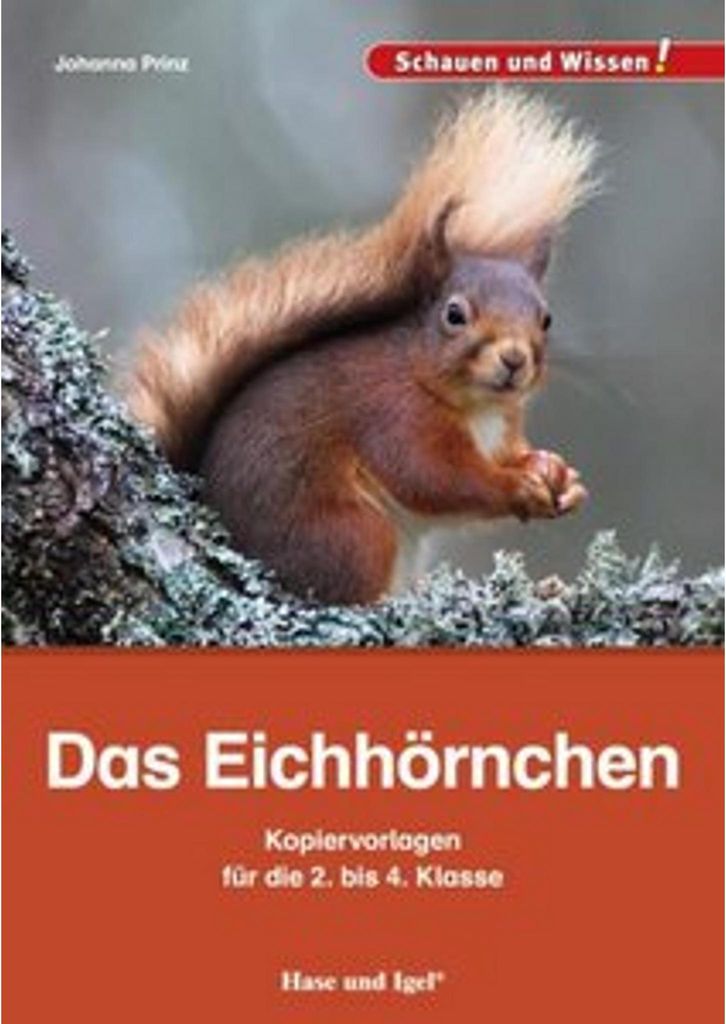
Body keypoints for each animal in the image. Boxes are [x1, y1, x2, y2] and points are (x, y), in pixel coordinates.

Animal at [128, 90, 598, 605]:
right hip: (354, 536)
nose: (514, 359)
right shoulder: (393, 416)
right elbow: (434, 478)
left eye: (546, 318)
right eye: (454, 315)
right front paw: (516, 487)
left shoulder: (501, 429)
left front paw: (556, 473)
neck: (477, 408)